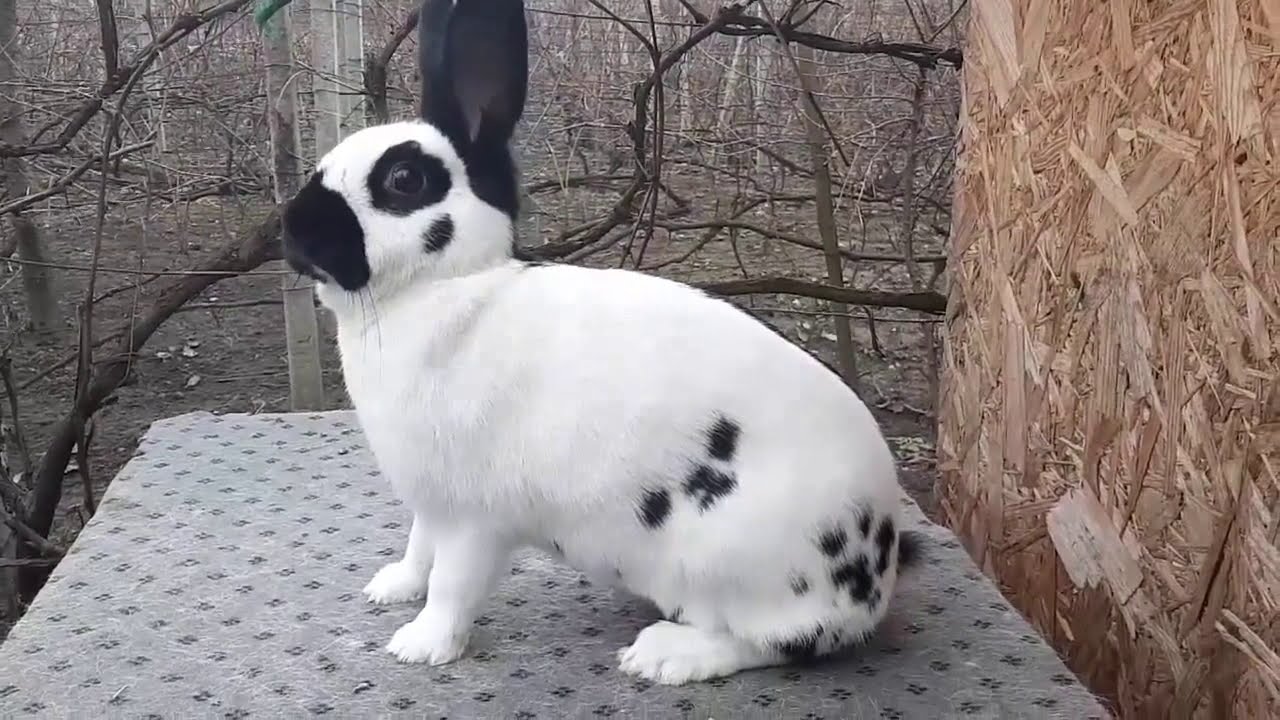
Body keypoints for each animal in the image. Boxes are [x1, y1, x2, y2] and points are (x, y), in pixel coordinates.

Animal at [279, 0, 924, 686]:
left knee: (776, 642)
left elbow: (454, 584)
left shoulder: (475, 517)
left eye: (403, 179)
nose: (292, 229)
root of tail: (876, 568)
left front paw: (419, 645)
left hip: (734, 562)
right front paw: (392, 587)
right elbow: (418, 549)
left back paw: (664, 654)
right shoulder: (432, 501)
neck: (445, 287)